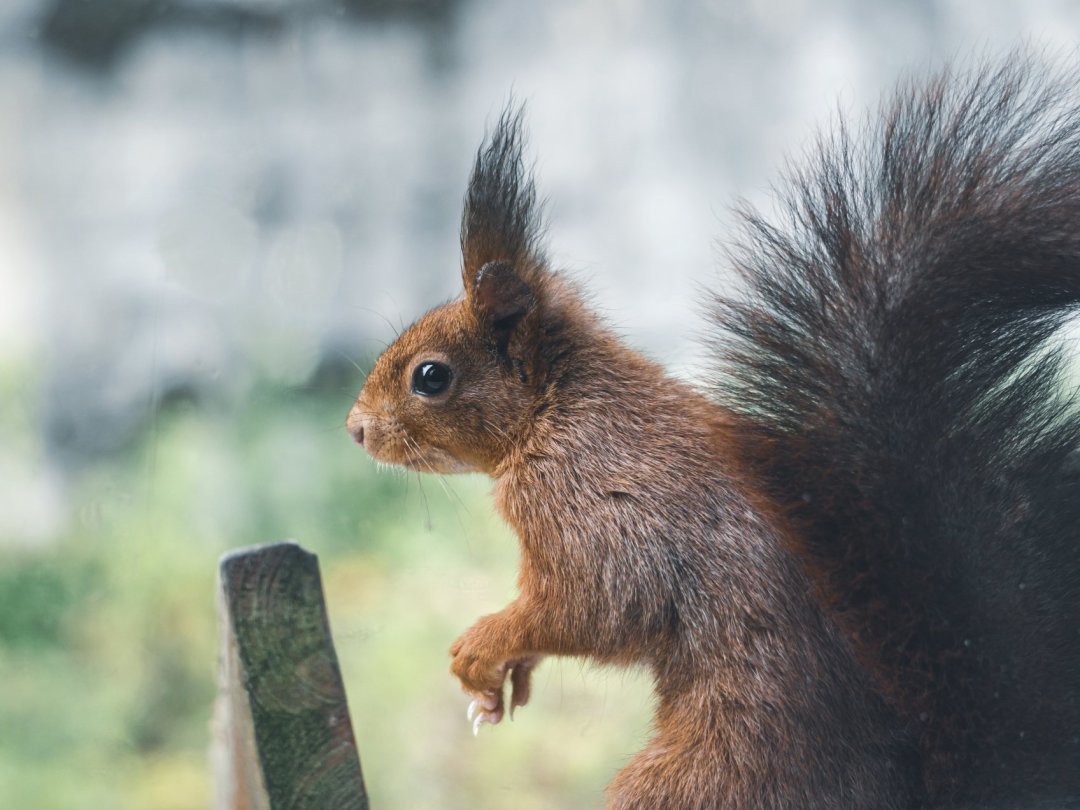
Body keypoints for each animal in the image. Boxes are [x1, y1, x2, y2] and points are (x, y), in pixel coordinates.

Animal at [345, 55, 1080, 807]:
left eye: (430, 377)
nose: (356, 429)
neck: (558, 412)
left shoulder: (592, 504)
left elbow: (595, 603)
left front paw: (483, 645)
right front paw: (504, 681)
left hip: (715, 772)